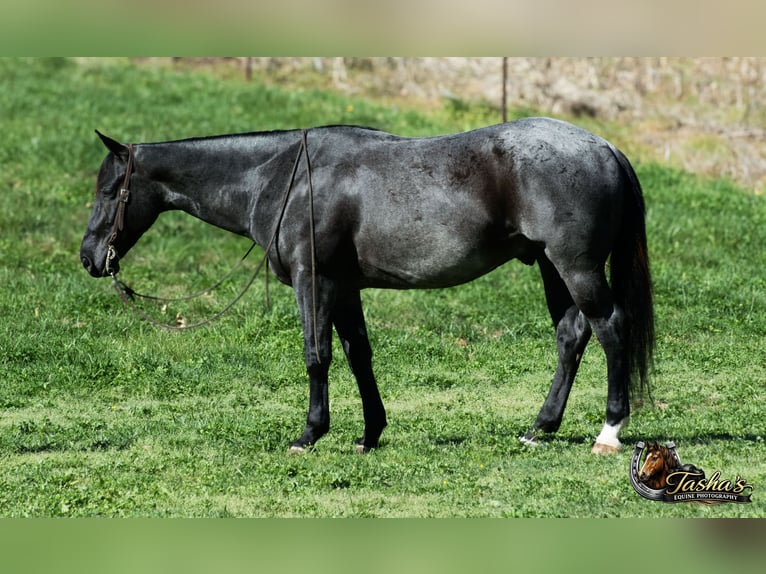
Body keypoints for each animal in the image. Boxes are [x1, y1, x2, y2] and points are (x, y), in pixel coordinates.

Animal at [80, 118, 654, 455]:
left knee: (610, 328)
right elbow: (359, 354)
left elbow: (317, 355)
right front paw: (370, 433)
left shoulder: (313, 282)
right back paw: (540, 428)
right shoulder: (344, 287)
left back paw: (609, 431)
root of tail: (604, 147)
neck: (286, 176)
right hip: (552, 268)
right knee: (571, 337)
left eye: (109, 190)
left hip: (575, 267)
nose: (89, 258)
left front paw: (310, 433)